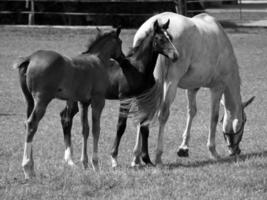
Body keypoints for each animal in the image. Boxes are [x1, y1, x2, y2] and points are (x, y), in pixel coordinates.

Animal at [14, 27, 123, 179]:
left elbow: (85, 129)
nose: (123, 57)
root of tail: (30, 58)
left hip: (30, 101)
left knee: (28, 124)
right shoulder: (98, 101)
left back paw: (32, 168)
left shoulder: (84, 102)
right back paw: (27, 168)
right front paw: (95, 165)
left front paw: (85, 163)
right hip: (42, 100)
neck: (97, 60)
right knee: (31, 124)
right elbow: (96, 129)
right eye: (121, 42)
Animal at [59, 19, 179, 169]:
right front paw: (114, 158)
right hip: (74, 99)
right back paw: (69, 159)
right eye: (160, 39)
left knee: (64, 116)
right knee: (66, 118)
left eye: (171, 38)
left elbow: (144, 126)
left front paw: (147, 159)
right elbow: (121, 126)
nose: (175, 56)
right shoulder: (125, 98)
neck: (138, 68)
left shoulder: (141, 98)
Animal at [131, 12, 256, 166]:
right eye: (244, 121)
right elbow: (214, 117)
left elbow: (191, 112)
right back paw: (158, 156)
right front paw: (213, 151)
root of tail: (156, 22)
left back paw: (136, 158)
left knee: (142, 113)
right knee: (163, 114)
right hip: (170, 83)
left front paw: (184, 148)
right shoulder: (217, 87)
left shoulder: (192, 88)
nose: (236, 151)